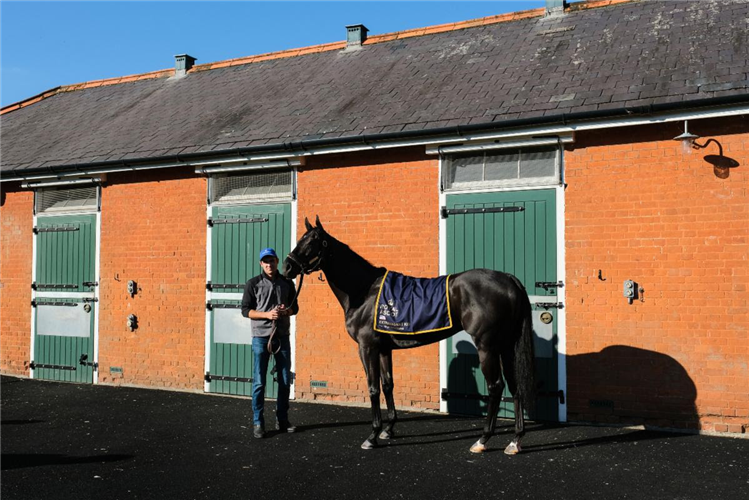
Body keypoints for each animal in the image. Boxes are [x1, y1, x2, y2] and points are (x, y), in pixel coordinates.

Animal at [284, 217, 536, 456]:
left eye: (312, 241)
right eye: (301, 239)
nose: (287, 267)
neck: (364, 292)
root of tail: (509, 280)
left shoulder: (367, 348)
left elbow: (373, 387)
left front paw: (372, 436)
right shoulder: (384, 349)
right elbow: (388, 385)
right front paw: (388, 430)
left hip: (487, 346)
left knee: (495, 386)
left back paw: (482, 440)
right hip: (506, 345)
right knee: (514, 386)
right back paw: (515, 441)